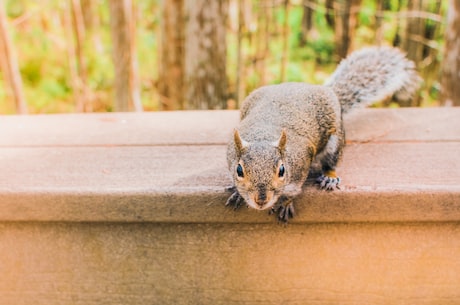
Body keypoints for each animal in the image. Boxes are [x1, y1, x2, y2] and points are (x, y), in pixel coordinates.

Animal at [226, 45, 420, 221]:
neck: (263, 135)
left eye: (282, 170)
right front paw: (237, 192)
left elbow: (294, 191)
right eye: (239, 170)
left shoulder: (301, 163)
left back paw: (329, 177)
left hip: (336, 139)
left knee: (331, 161)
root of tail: (326, 90)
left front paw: (286, 203)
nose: (261, 200)